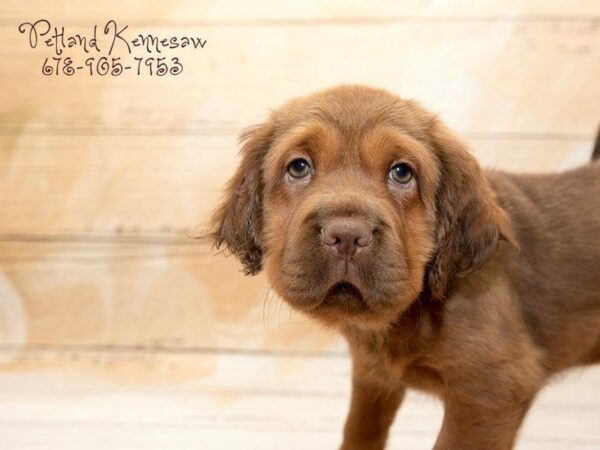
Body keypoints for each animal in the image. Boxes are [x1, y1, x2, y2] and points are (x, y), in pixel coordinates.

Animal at [207, 85, 600, 450]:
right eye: (299, 167)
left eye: (401, 173)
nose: (346, 236)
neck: (410, 313)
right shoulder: (373, 376)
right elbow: (359, 431)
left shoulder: (493, 392)